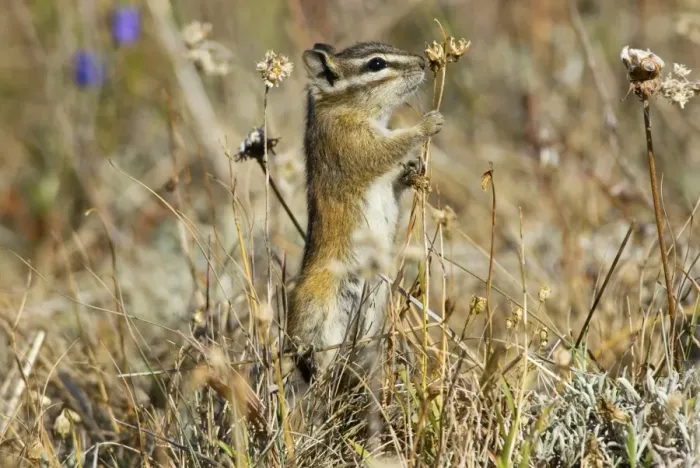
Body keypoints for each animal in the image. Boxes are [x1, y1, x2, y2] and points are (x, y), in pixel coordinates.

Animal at [287, 41, 443, 384]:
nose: (422, 62)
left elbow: (396, 176)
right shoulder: (352, 143)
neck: (342, 107)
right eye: (376, 64)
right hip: (321, 318)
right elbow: (386, 150)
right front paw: (428, 123)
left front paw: (414, 171)